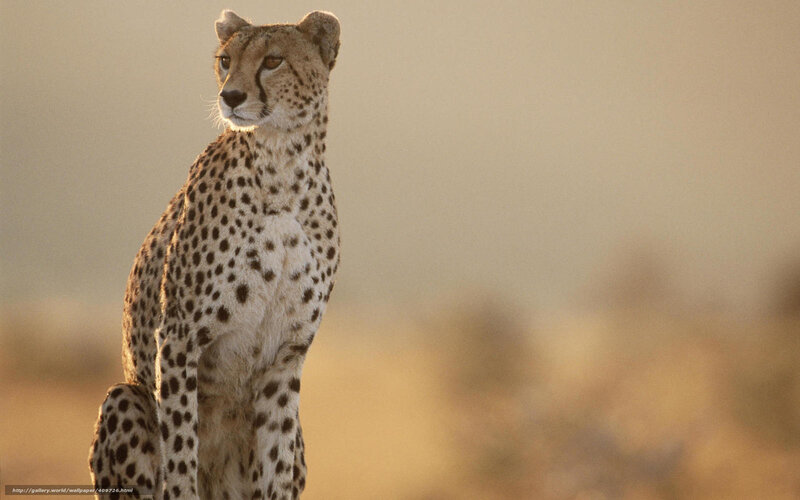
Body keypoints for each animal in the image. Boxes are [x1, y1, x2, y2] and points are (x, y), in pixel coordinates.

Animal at [88, 10, 341, 500]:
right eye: (226, 60)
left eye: (274, 60)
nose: (231, 96)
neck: (283, 166)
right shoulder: (179, 336)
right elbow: (181, 449)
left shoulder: (287, 355)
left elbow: (274, 460)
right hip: (124, 397)